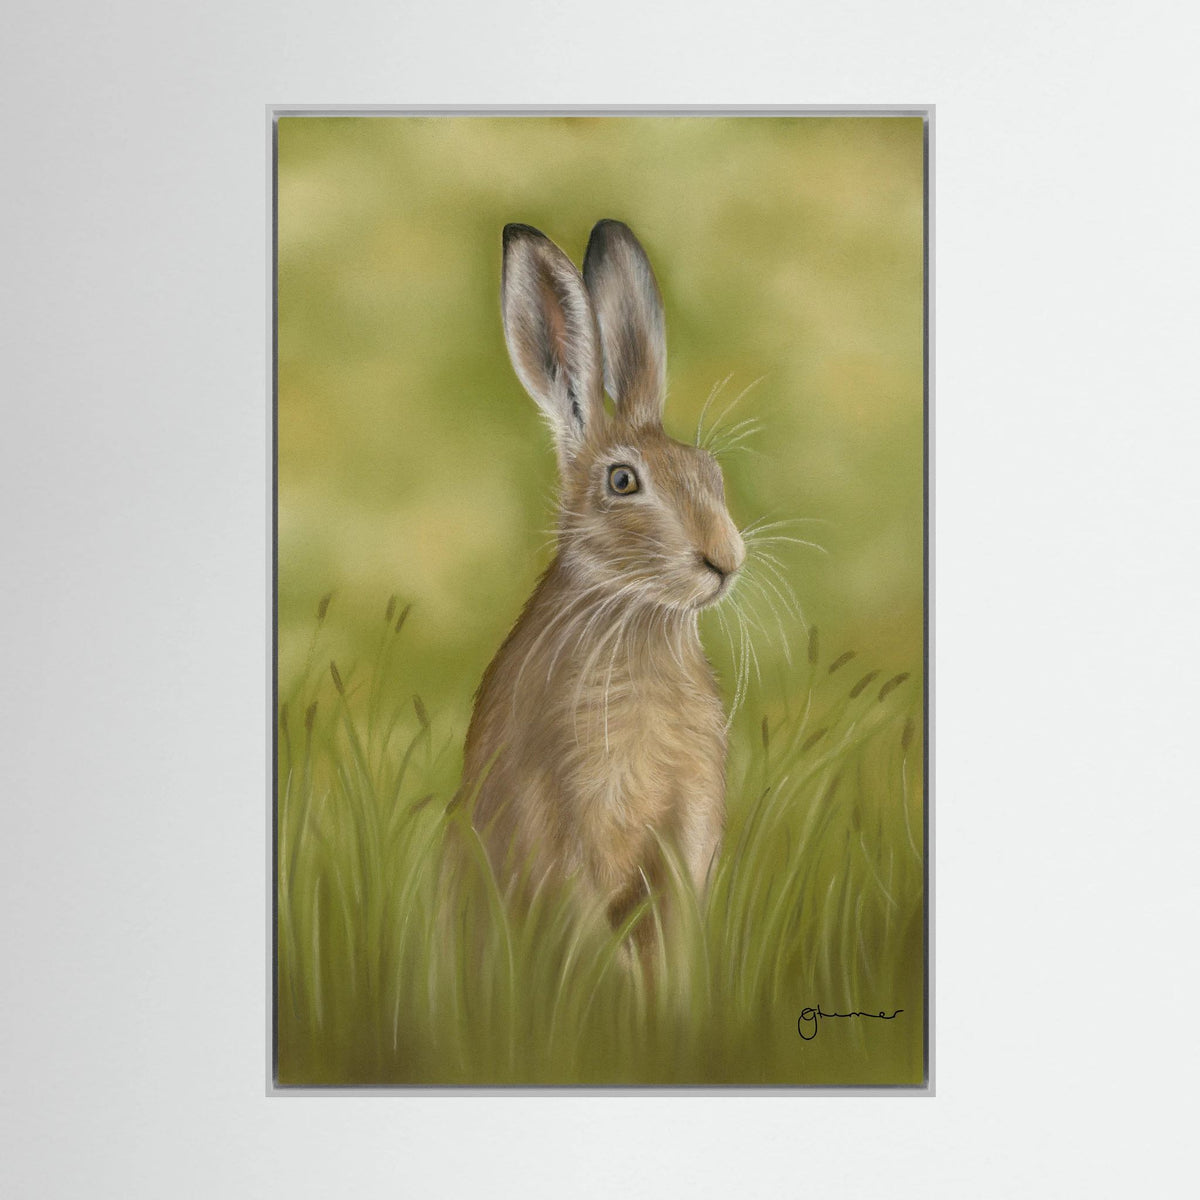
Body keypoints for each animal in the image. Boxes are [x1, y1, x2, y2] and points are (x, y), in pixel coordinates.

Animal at [459, 219, 745, 951]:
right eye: (622, 482)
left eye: (709, 470)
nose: (725, 558)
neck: (638, 619)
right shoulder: (560, 823)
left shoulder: (687, 832)